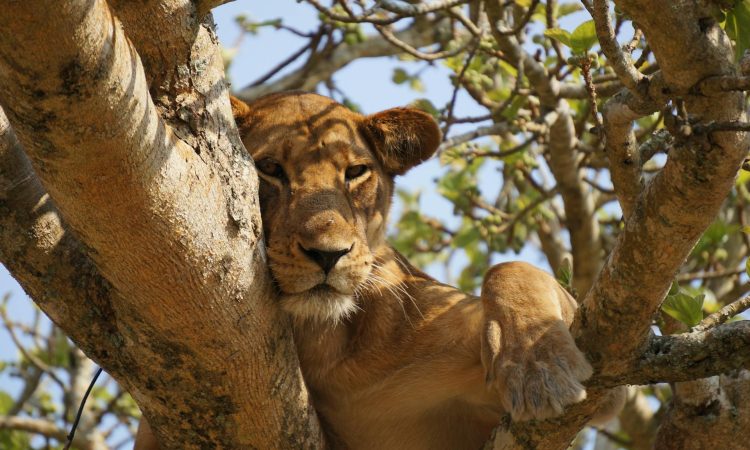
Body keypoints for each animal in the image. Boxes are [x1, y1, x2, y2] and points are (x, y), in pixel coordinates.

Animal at [135, 92, 622, 449]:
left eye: (355, 172)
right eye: (269, 169)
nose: (327, 255)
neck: (325, 344)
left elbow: (511, 269)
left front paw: (538, 366)